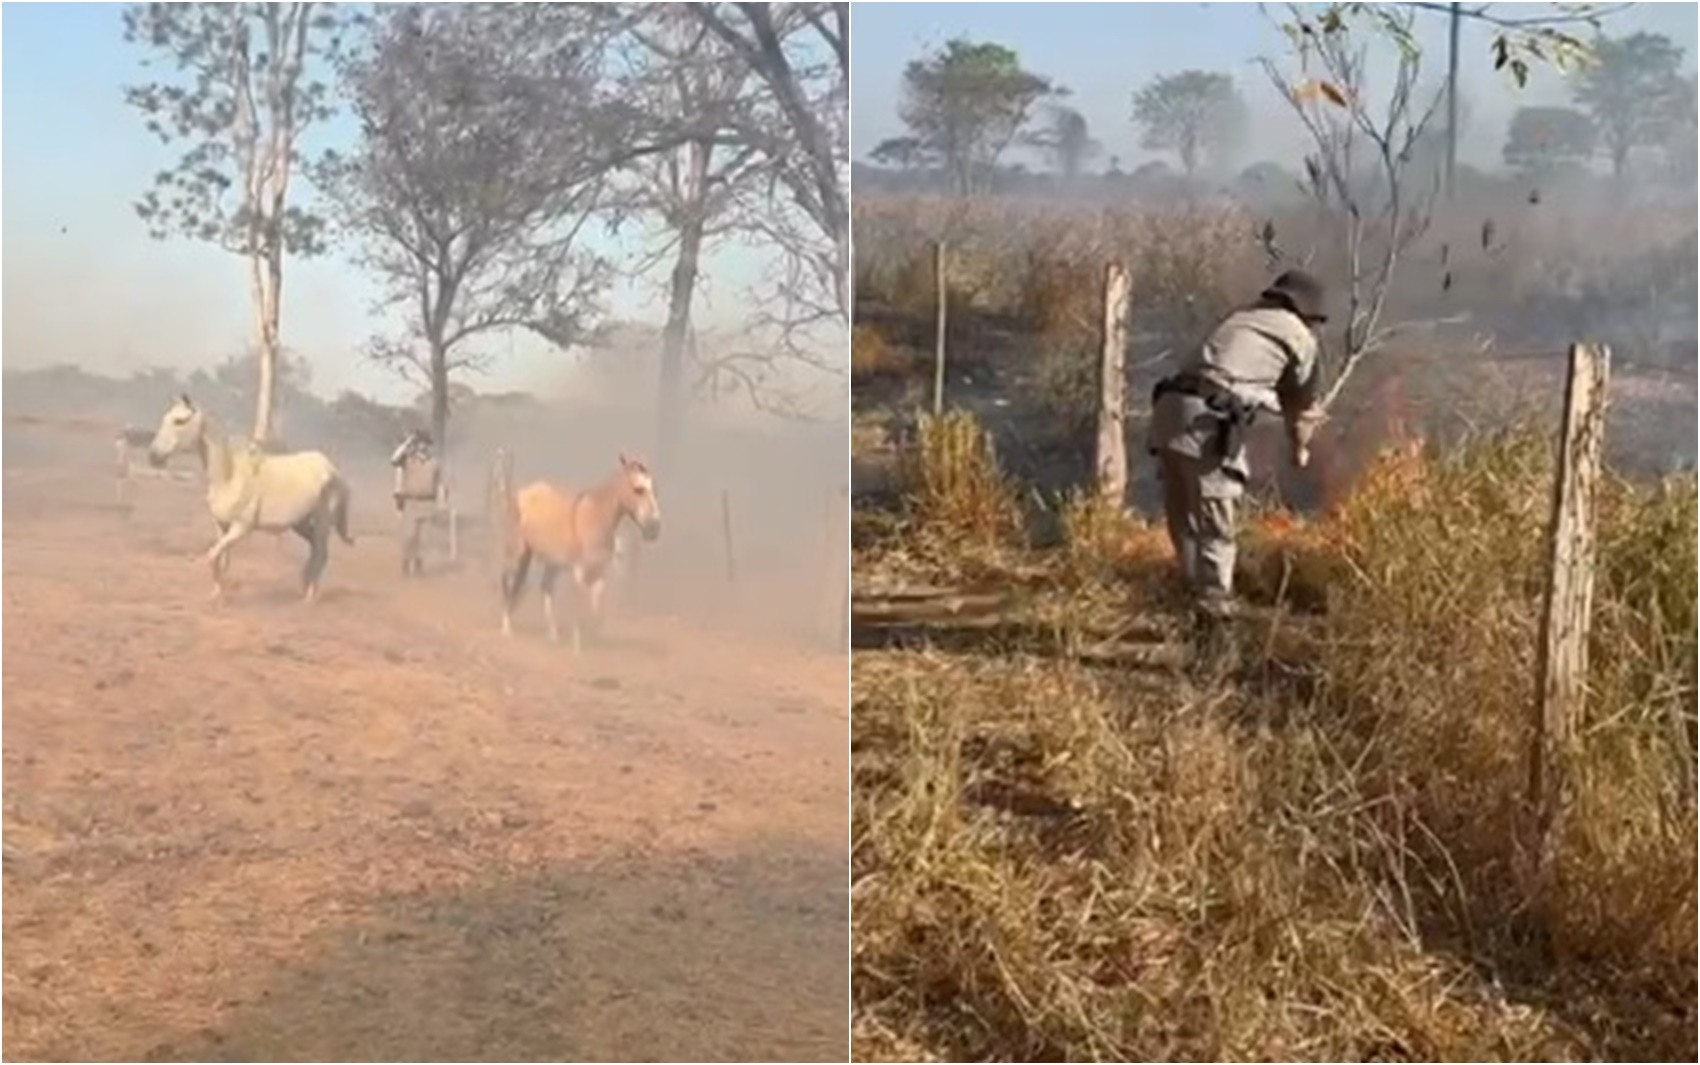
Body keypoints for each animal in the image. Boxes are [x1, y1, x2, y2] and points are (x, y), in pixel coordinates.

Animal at [147, 394, 353, 602]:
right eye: (166, 418)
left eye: (180, 421)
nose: (153, 456)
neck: (229, 476)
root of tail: (332, 468)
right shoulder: (221, 526)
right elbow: (220, 559)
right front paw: (216, 595)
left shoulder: (241, 528)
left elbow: (212, 556)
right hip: (300, 524)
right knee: (314, 549)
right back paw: (304, 586)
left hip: (322, 522)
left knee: (321, 553)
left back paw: (309, 598)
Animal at [496, 449, 656, 646]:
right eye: (638, 489)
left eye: (654, 489)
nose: (654, 528)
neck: (595, 517)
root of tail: (523, 492)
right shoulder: (579, 572)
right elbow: (580, 604)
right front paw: (577, 644)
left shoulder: (599, 572)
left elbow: (594, 605)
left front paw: (590, 636)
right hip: (518, 552)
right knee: (508, 580)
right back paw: (506, 627)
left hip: (552, 563)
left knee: (545, 588)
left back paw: (553, 633)